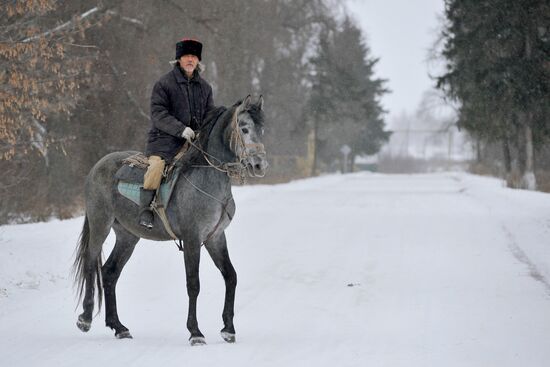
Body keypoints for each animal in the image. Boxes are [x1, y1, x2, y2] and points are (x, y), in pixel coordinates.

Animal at [72, 94, 270, 344]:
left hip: (127, 236)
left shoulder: (215, 237)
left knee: (109, 272)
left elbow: (230, 276)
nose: (260, 165)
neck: (208, 178)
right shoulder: (193, 239)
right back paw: (85, 319)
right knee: (91, 263)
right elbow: (193, 283)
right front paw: (195, 332)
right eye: (244, 128)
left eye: (262, 129)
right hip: (101, 224)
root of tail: (98, 166)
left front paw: (228, 329)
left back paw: (118, 327)